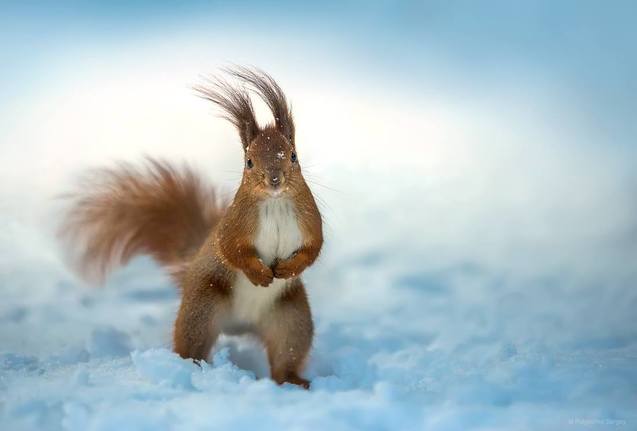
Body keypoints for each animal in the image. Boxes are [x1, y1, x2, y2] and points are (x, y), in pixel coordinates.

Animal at [59, 66, 322, 388]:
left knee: (286, 356)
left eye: (293, 155)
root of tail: (240, 325)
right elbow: (231, 249)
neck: (275, 202)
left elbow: (312, 249)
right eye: (249, 161)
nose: (274, 179)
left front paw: (288, 269)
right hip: (201, 309)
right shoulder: (234, 224)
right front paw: (259, 273)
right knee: (192, 345)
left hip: (291, 319)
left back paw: (293, 381)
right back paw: (192, 370)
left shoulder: (310, 220)